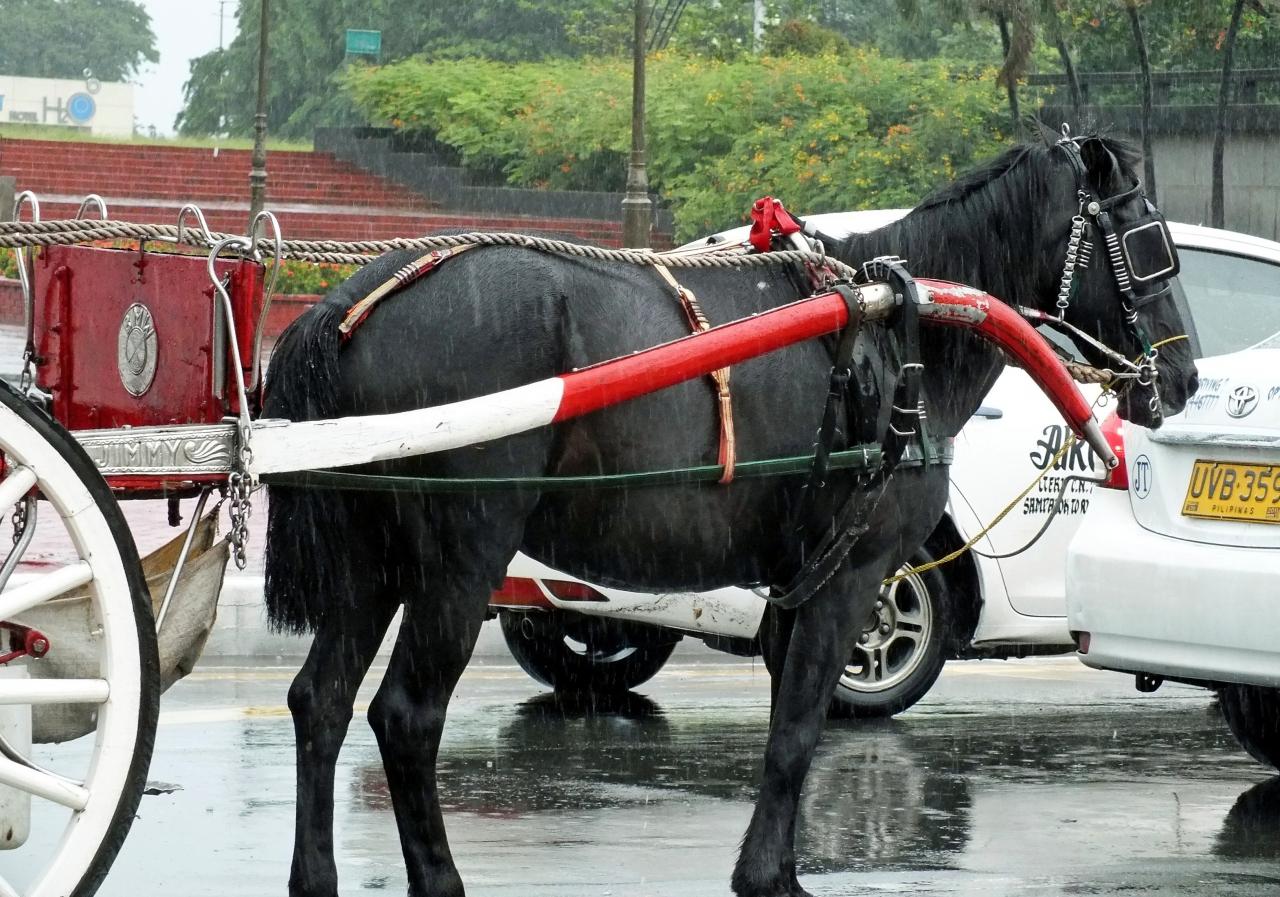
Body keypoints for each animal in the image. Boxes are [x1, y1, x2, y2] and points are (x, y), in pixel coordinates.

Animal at [262, 130, 1198, 897]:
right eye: (1149, 240)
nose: (1184, 376)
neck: (900, 327)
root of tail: (350, 307)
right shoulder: (852, 576)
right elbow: (798, 728)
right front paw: (769, 875)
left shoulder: (799, 578)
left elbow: (792, 725)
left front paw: (773, 862)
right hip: (458, 560)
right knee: (406, 715)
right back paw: (440, 877)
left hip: (371, 559)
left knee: (322, 699)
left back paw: (313, 875)